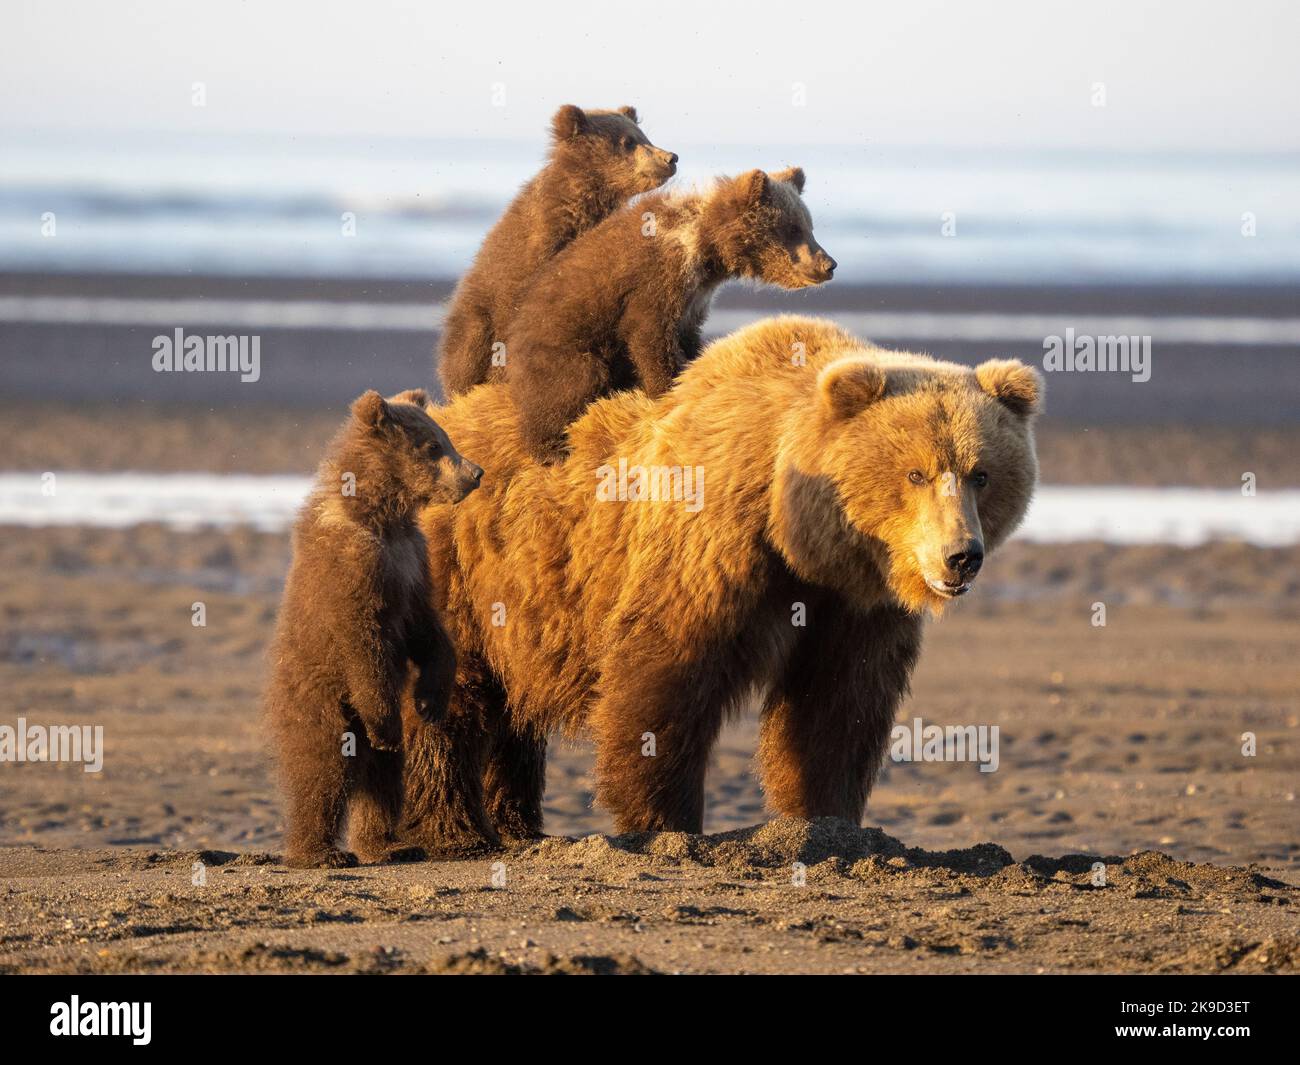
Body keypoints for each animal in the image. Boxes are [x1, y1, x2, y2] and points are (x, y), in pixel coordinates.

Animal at [400, 312, 1040, 853]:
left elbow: (838, 705)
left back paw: (517, 825)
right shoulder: (712, 547)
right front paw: (666, 824)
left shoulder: (853, 604)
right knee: (452, 698)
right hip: (465, 572)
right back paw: (457, 830)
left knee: (513, 711)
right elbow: (665, 674)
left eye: (981, 473)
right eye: (915, 473)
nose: (961, 556)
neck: (796, 533)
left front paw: (826, 821)